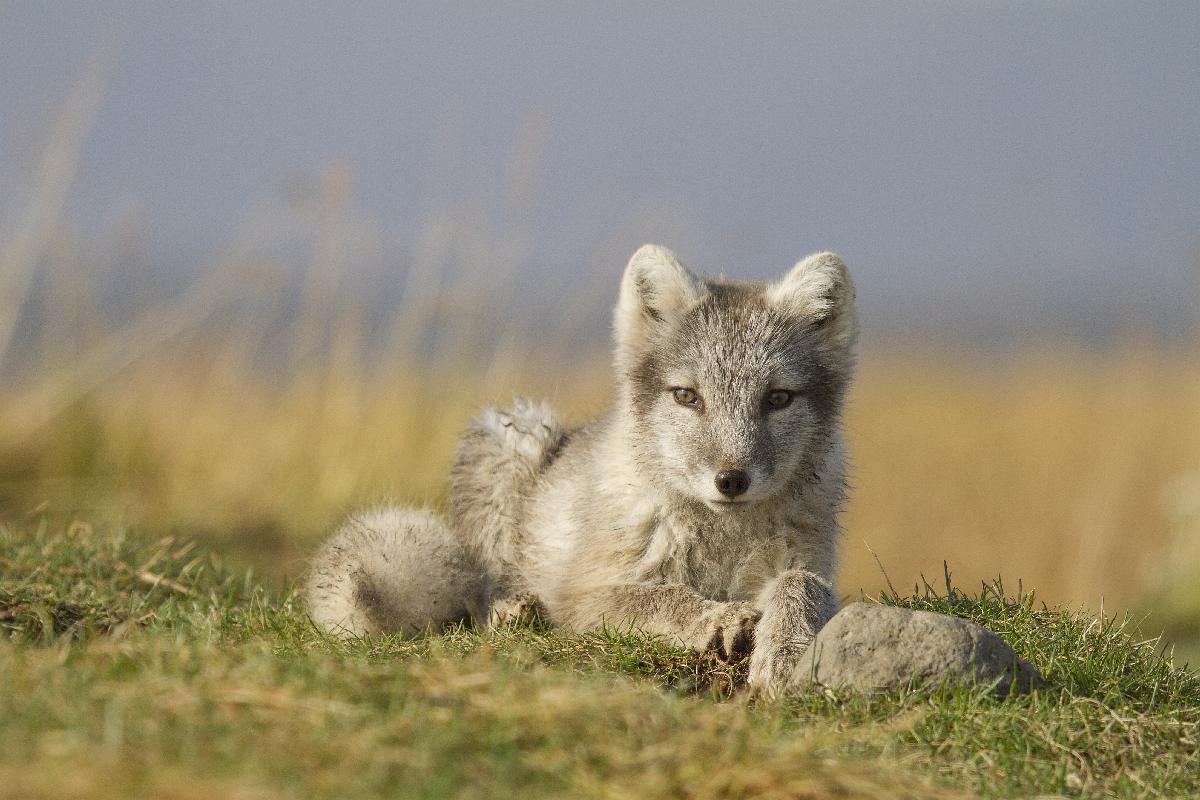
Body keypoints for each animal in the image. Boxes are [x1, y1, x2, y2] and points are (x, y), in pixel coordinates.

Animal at [304, 244, 859, 695]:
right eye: (687, 396)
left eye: (778, 399)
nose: (731, 480)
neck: (721, 540)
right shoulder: (583, 597)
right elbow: (658, 597)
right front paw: (716, 617)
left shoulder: (810, 564)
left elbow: (801, 588)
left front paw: (786, 653)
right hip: (516, 436)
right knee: (481, 595)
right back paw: (513, 612)